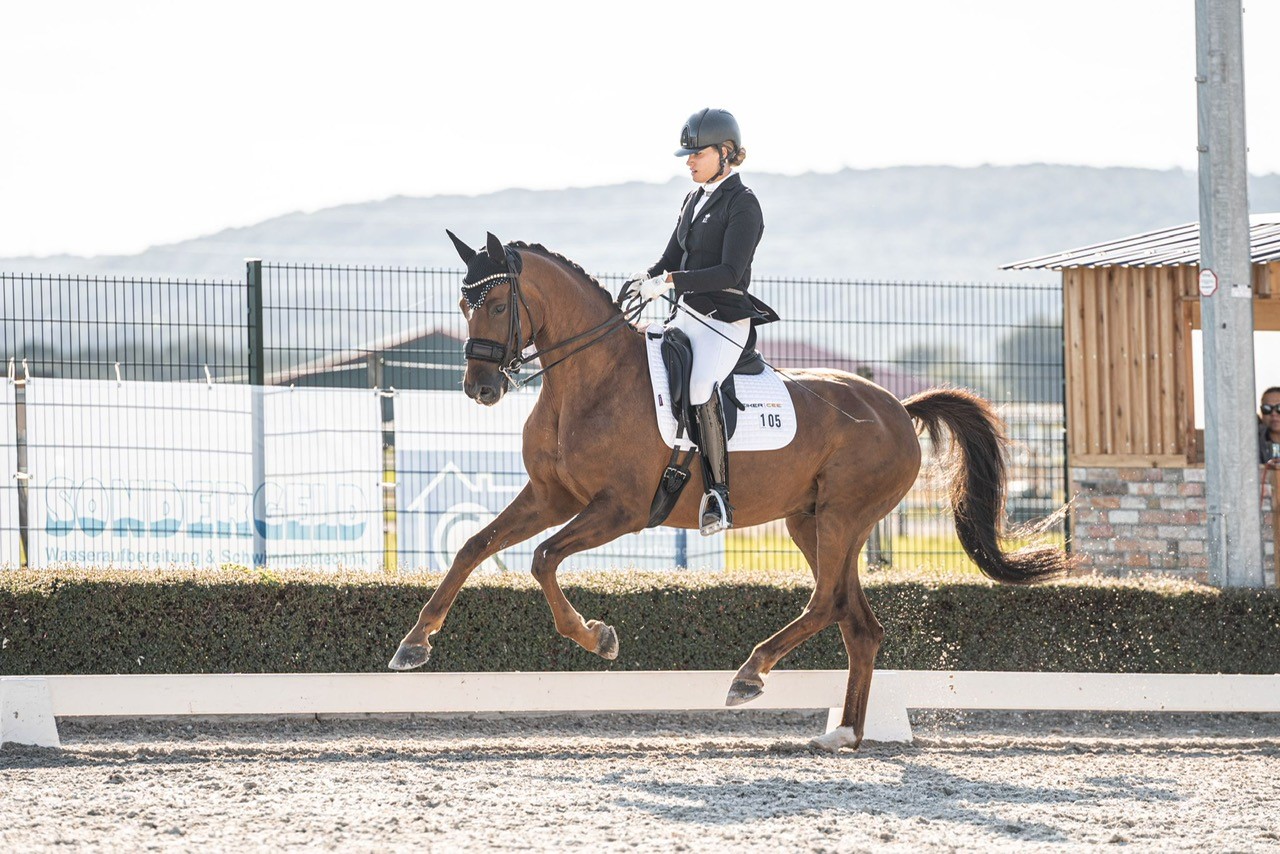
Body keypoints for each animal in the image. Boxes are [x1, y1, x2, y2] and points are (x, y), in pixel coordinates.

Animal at [389, 231, 1072, 751]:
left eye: (496, 305)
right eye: (463, 304)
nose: (480, 389)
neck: (589, 379)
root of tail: (898, 410)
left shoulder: (621, 509)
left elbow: (542, 557)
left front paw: (597, 636)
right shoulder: (551, 498)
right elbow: (474, 547)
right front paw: (413, 644)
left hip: (843, 517)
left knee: (826, 604)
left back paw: (750, 675)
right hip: (812, 521)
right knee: (859, 624)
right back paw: (843, 734)